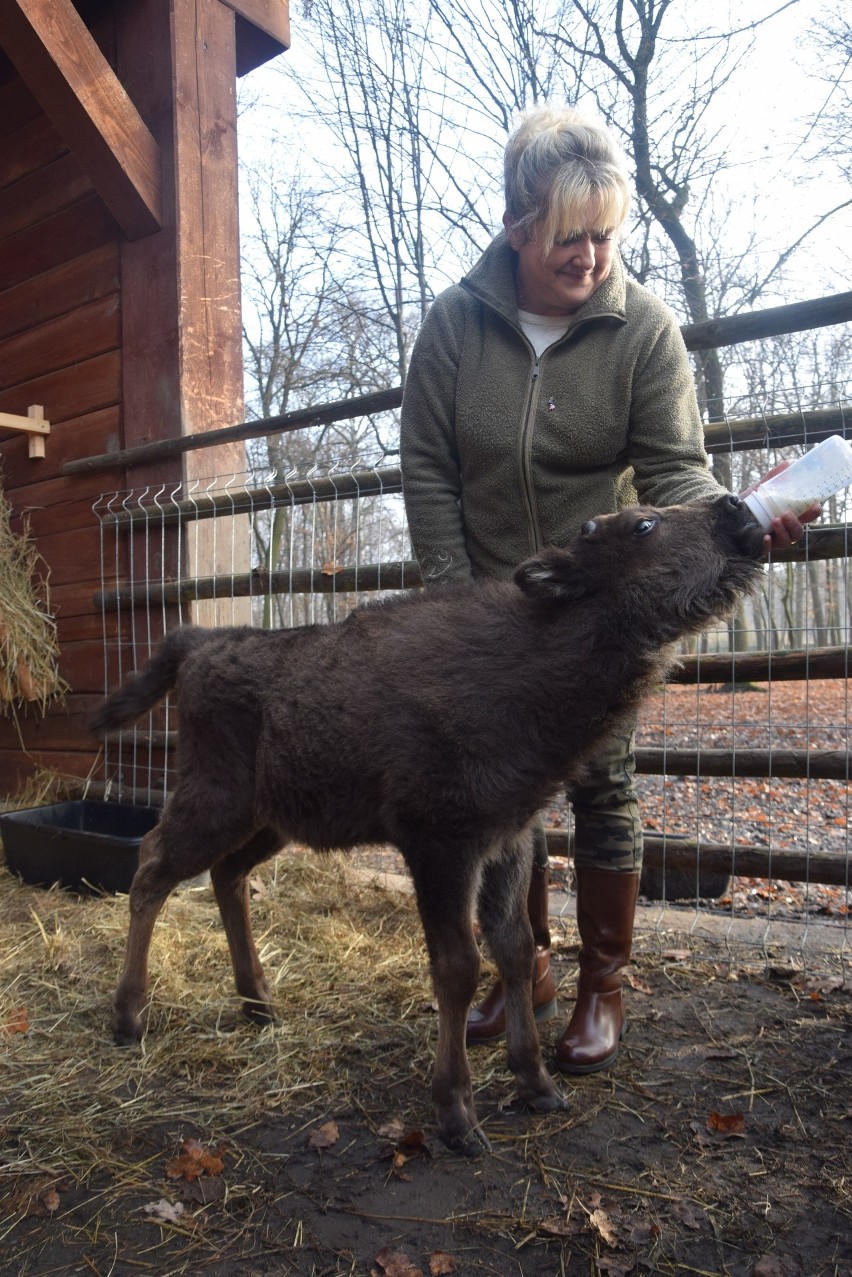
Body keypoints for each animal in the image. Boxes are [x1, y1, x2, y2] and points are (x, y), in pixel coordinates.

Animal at [95, 495, 766, 1159]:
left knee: (224, 874)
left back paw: (259, 1003)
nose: (737, 511)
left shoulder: (509, 839)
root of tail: (199, 644)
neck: (529, 659)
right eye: (643, 524)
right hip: (217, 800)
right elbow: (458, 966)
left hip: (272, 820)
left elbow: (515, 947)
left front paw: (537, 1084)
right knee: (151, 867)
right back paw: (129, 1017)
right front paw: (457, 1114)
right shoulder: (440, 844)